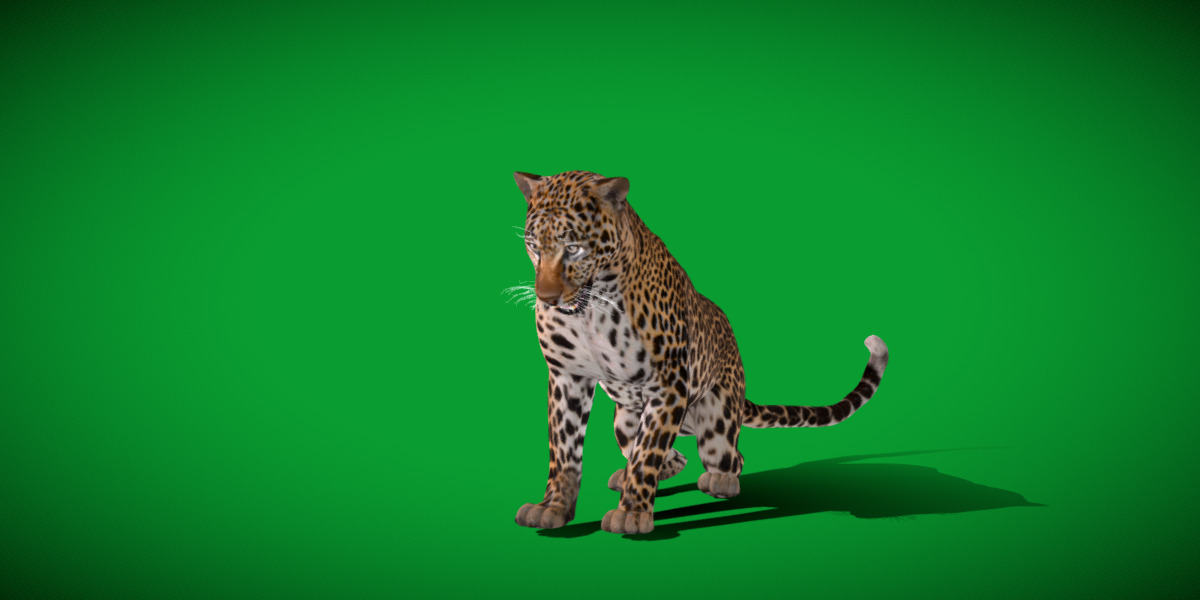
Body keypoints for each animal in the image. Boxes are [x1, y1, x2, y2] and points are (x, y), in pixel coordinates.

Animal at [511, 170, 889, 535]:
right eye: (533, 246)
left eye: (574, 248)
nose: (546, 298)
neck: (591, 311)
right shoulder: (568, 377)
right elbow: (564, 449)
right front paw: (552, 507)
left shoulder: (667, 386)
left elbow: (648, 453)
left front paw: (631, 514)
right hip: (625, 420)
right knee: (669, 455)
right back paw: (626, 475)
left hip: (716, 423)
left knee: (729, 457)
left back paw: (719, 481)